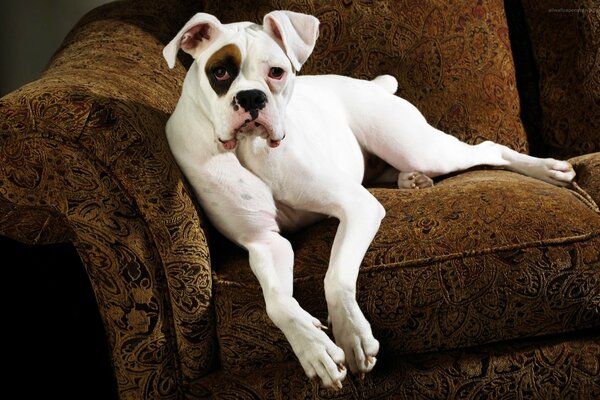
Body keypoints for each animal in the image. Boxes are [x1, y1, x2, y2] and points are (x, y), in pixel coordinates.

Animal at [162, 10, 576, 390]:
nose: (251, 97)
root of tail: (373, 85)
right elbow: (277, 303)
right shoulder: (264, 243)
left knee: (490, 148)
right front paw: (315, 348)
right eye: (220, 72)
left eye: (276, 72)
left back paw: (549, 169)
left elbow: (335, 276)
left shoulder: (356, 206)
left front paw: (352, 336)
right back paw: (412, 180)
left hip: (418, 146)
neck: (251, 147)